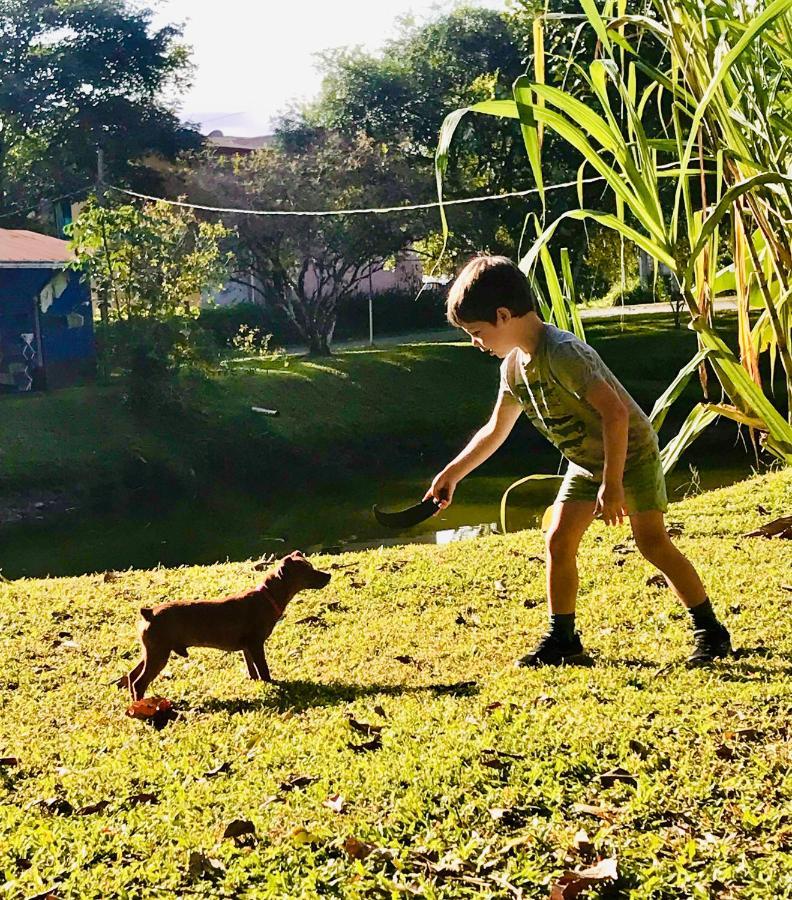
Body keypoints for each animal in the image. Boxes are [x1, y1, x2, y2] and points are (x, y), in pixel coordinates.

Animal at [127, 548, 332, 704]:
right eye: (308, 570)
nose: (329, 575)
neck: (267, 597)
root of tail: (149, 612)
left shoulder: (247, 647)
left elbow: (252, 669)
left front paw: (255, 682)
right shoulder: (256, 644)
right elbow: (263, 670)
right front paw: (273, 685)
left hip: (151, 652)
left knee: (131, 675)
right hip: (159, 655)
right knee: (139, 682)